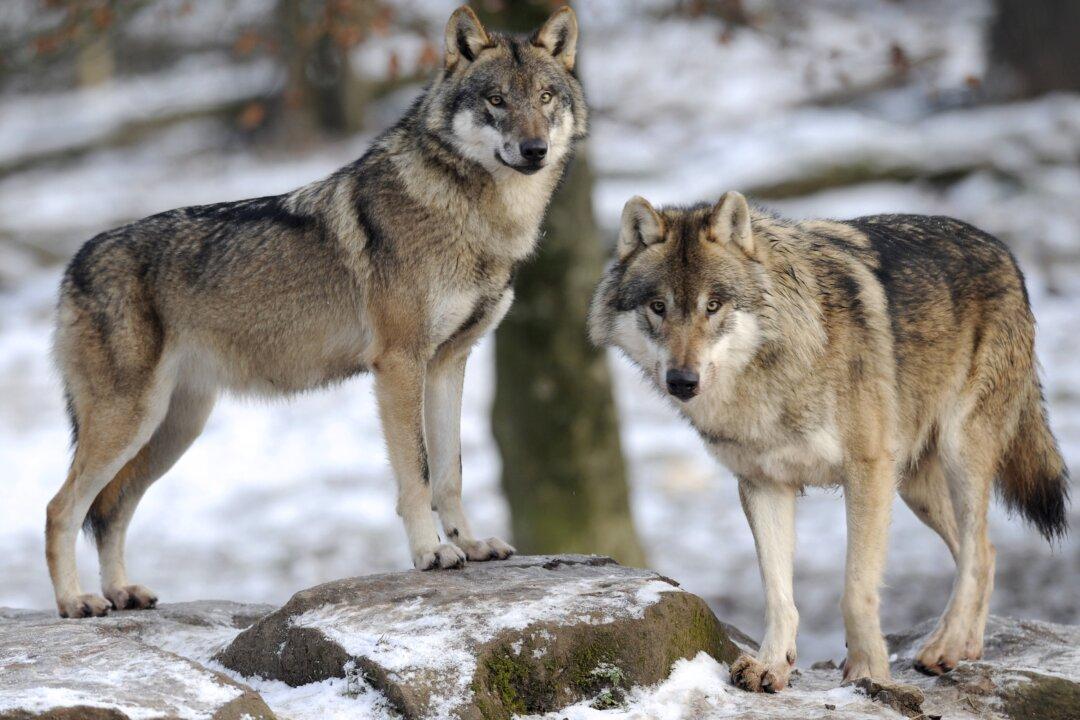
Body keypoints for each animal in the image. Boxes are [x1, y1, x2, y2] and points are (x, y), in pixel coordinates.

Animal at [46, 5, 586, 619]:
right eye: (496, 99)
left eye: (545, 96)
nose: (534, 149)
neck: (477, 219)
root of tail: (75, 263)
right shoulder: (399, 365)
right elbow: (418, 473)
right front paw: (430, 554)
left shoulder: (450, 362)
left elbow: (451, 471)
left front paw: (469, 544)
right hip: (130, 422)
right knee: (62, 508)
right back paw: (76, 602)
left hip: (171, 429)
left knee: (112, 508)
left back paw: (121, 592)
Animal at [589, 191, 1069, 690]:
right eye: (658, 307)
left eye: (714, 305)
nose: (682, 380)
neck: (771, 374)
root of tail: (1003, 250)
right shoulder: (765, 483)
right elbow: (777, 593)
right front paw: (771, 665)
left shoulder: (867, 472)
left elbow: (856, 589)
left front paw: (869, 671)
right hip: (915, 487)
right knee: (986, 553)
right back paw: (966, 647)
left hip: (958, 455)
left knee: (976, 552)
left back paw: (946, 646)